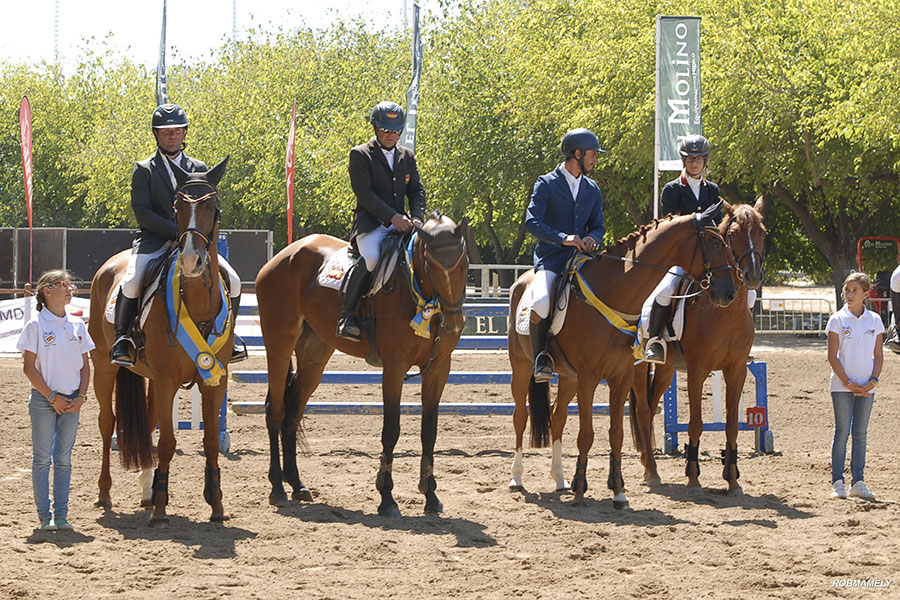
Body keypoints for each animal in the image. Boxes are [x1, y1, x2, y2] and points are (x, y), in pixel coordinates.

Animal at [88, 159, 232, 524]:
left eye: (212, 207)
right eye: (178, 207)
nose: (192, 261)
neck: (196, 304)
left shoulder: (214, 379)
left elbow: (211, 440)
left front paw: (216, 505)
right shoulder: (167, 379)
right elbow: (167, 441)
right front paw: (161, 510)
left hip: (150, 376)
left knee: (149, 422)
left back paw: (146, 491)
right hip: (104, 366)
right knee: (107, 423)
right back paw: (105, 494)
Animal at [251, 213, 464, 516]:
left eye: (464, 265)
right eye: (431, 266)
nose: (455, 323)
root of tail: (282, 256)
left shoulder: (438, 369)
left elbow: (429, 432)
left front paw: (431, 497)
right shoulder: (394, 367)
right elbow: (391, 429)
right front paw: (387, 498)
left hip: (314, 354)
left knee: (293, 411)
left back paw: (297, 484)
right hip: (279, 343)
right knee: (276, 410)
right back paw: (278, 488)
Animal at [510, 204, 736, 508]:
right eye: (714, 243)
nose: (729, 293)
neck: (615, 294)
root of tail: (522, 280)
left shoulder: (620, 376)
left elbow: (615, 434)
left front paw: (617, 492)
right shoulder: (589, 377)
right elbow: (586, 435)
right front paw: (581, 490)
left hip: (568, 377)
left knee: (557, 417)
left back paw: (559, 480)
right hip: (522, 367)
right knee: (520, 416)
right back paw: (517, 478)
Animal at [628, 199, 768, 494]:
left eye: (762, 232)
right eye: (734, 234)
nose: (752, 276)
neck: (726, 311)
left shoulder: (736, 370)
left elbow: (731, 426)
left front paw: (733, 479)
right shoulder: (697, 369)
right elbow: (695, 424)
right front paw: (693, 477)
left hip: (666, 369)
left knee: (651, 405)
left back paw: (648, 464)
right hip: (640, 366)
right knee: (643, 410)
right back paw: (651, 472)